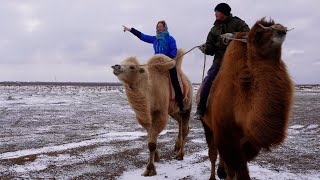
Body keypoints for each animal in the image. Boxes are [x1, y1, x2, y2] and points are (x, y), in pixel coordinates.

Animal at [112, 48, 192, 176]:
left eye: (132, 67)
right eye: (122, 61)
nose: (116, 66)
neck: (151, 91)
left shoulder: (160, 113)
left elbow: (151, 144)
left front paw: (150, 169)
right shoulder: (147, 115)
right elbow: (150, 135)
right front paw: (156, 157)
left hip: (187, 105)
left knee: (185, 128)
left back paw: (180, 154)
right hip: (173, 111)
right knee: (180, 123)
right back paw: (176, 147)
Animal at [201, 17, 294, 179]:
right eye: (258, 33)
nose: (281, 29)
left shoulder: (248, 144)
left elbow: (238, 170)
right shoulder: (226, 138)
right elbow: (235, 169)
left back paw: (221, 172)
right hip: (206, 125)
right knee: (212, 153)